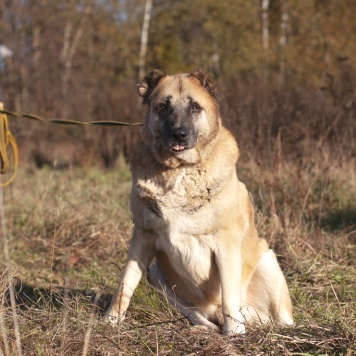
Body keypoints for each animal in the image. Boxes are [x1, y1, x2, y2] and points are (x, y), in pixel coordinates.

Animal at [104, 69, 294, 334]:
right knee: (195, 313)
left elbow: (228, 294)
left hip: (267, 259)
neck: (180, 169)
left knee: (276, 314)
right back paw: (204, 326)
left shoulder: (225, 244)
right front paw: (110, 320)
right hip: (156, 273)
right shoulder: (143, 236)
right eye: (162, 107)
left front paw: (234, 332)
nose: (179, 134)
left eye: (195, 107)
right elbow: (125, 284)